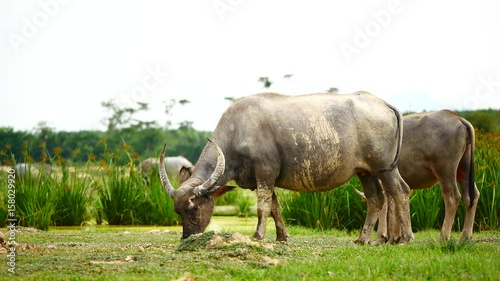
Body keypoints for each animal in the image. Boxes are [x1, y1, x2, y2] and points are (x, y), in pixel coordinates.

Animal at [158, 92, 412, 243]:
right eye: (177, 211)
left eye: (193, 208)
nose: (187, 236)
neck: (237, 132)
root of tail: (383, 103)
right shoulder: (262, 180)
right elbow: (275, 208)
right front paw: (282, 236)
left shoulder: (265, 173)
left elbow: (262, 208)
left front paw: (258, 235)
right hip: (365, 172)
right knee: (376, 199)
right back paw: (362, 239)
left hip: (385, 168)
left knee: (401, 192)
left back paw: (405, 237)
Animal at [354, 109, 478, 241]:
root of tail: (457, 118)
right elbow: (396, 206)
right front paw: (397, 237)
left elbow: (387, 207)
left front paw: (382, 237)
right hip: (464, 169)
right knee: (471, 196)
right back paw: (465, 235)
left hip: (445, 171)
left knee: (452, 197)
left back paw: (443, 236)